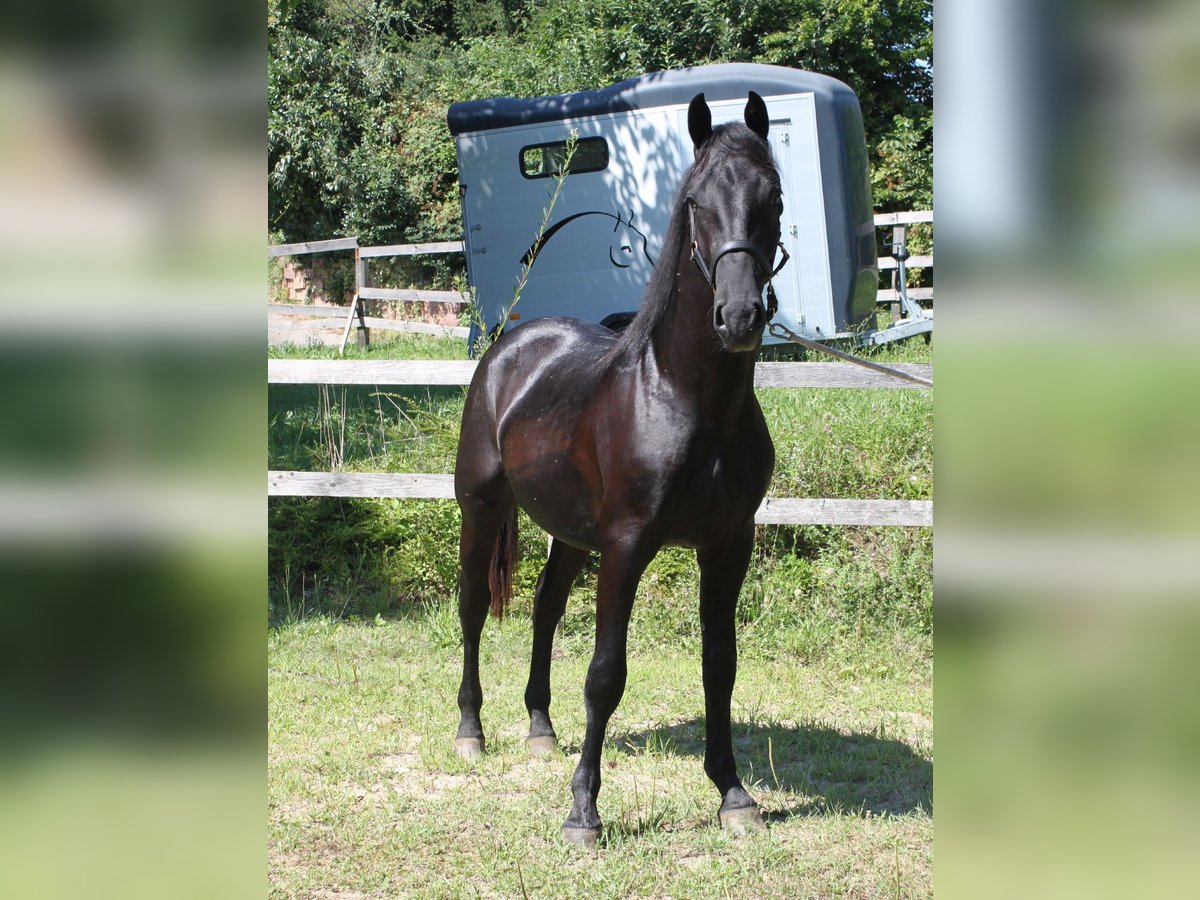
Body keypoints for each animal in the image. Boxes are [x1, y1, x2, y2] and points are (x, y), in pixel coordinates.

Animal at [453, 91, 782, 844]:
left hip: (572, 534)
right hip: (481, 509)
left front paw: (733, 794)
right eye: (694, 202)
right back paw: (470, 730)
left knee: (544, 607)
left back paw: (540, 728)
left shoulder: (729, 543)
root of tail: (512, 345)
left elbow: (719, 665)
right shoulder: (627, 544)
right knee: (474, 607)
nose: (739, 317)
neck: (686, 399)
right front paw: (583, 812)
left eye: (773, 197)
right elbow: (606, 674)